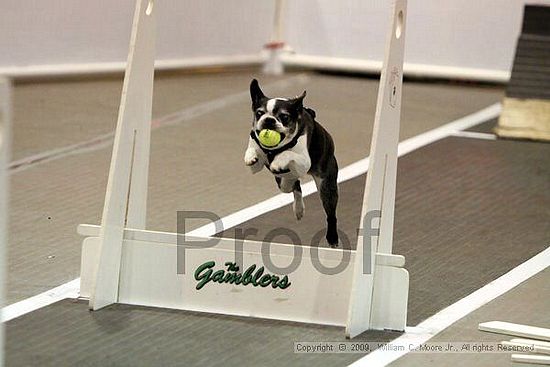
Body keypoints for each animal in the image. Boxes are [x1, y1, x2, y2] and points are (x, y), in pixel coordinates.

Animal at [246, 80, 340, 247]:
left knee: (331, 214)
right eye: (259, 113)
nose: (269, 120)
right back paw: (298, 209)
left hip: (326, 185)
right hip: (283, 183)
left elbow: (287, 153)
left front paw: (278, 161)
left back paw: (332, 237)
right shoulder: (256, 156)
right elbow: (253, 148)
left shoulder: (304, 161)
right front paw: (250, 156)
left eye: (284, 116)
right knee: (294, 186)